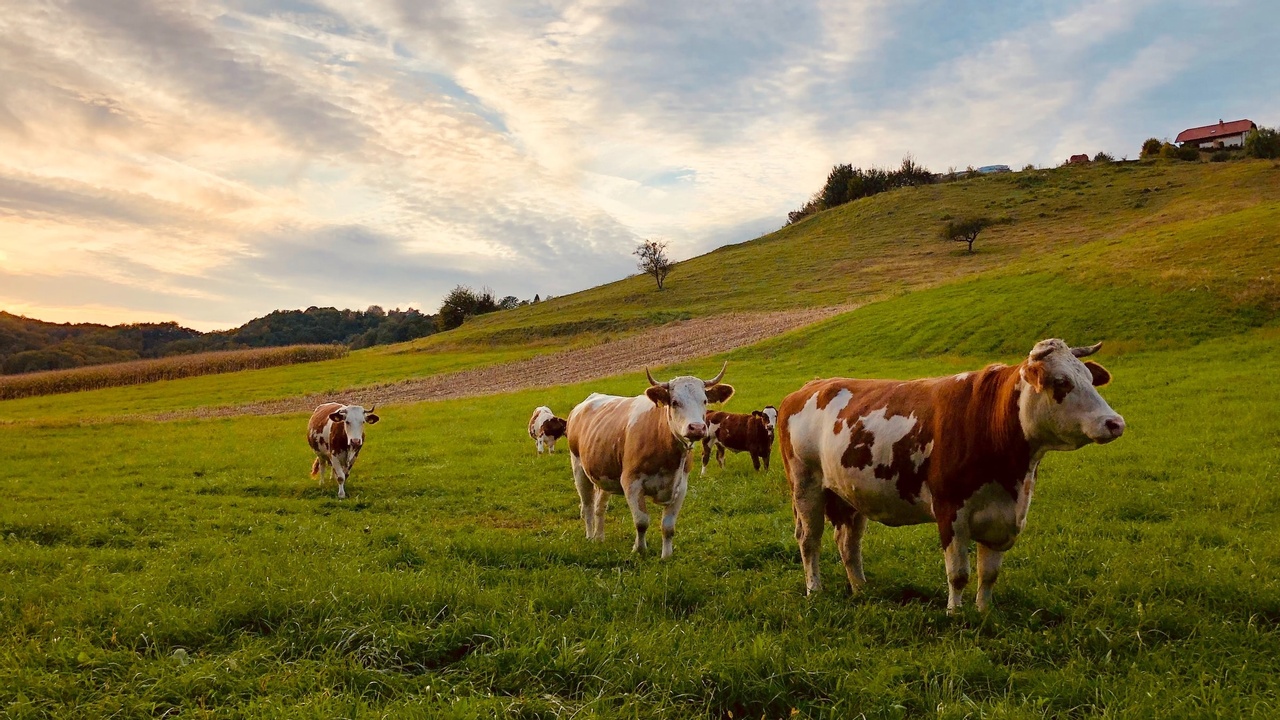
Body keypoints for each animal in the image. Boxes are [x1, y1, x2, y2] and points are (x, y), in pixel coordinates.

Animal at [568, 361, 737, 558]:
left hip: (604, 473)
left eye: (704, 400)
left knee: (599, 507)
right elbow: (641, 521)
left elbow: (668, 527)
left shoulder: (681, 486)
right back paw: (589, 536)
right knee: (587, 506)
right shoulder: (631, 483)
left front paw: (667, 556)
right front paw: (639, 550)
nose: (697, 428)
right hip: (579, 468)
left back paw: (599, 538)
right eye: (674, 402)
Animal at [773, 338, 1126, 607]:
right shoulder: (950, 511)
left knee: (848, 542)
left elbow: (989, 574)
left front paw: (983, 612)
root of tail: (810, 386)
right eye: (1062, 382)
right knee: (809, 539)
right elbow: (958, 574)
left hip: (849, 492)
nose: (1115, 423)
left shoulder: (1005, 517)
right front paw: (955, 614)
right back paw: (815, 590)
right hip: (806, 485)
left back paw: (861, 589)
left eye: (1090, 378)